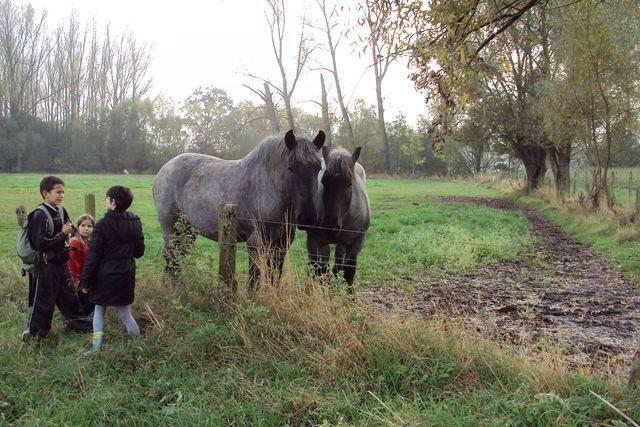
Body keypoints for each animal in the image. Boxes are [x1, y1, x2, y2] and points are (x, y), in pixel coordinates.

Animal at [154, 130, 324, 290]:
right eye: (291, 168)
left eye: (318, 168)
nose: (308, 217)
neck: (268, 187)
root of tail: (164, 169)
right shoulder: (256, 243)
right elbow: (254, 280)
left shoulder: (281, 244)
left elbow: (274, 276)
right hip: (172, 229)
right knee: (171, 257)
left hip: (188, 230)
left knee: (178, 257)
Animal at [304, 146, 370, 290]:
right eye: (324, 181)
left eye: (349, 183)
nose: (330, 225)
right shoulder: (316, 241)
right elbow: (320, 271)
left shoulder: (356, 242)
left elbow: (349, 271)